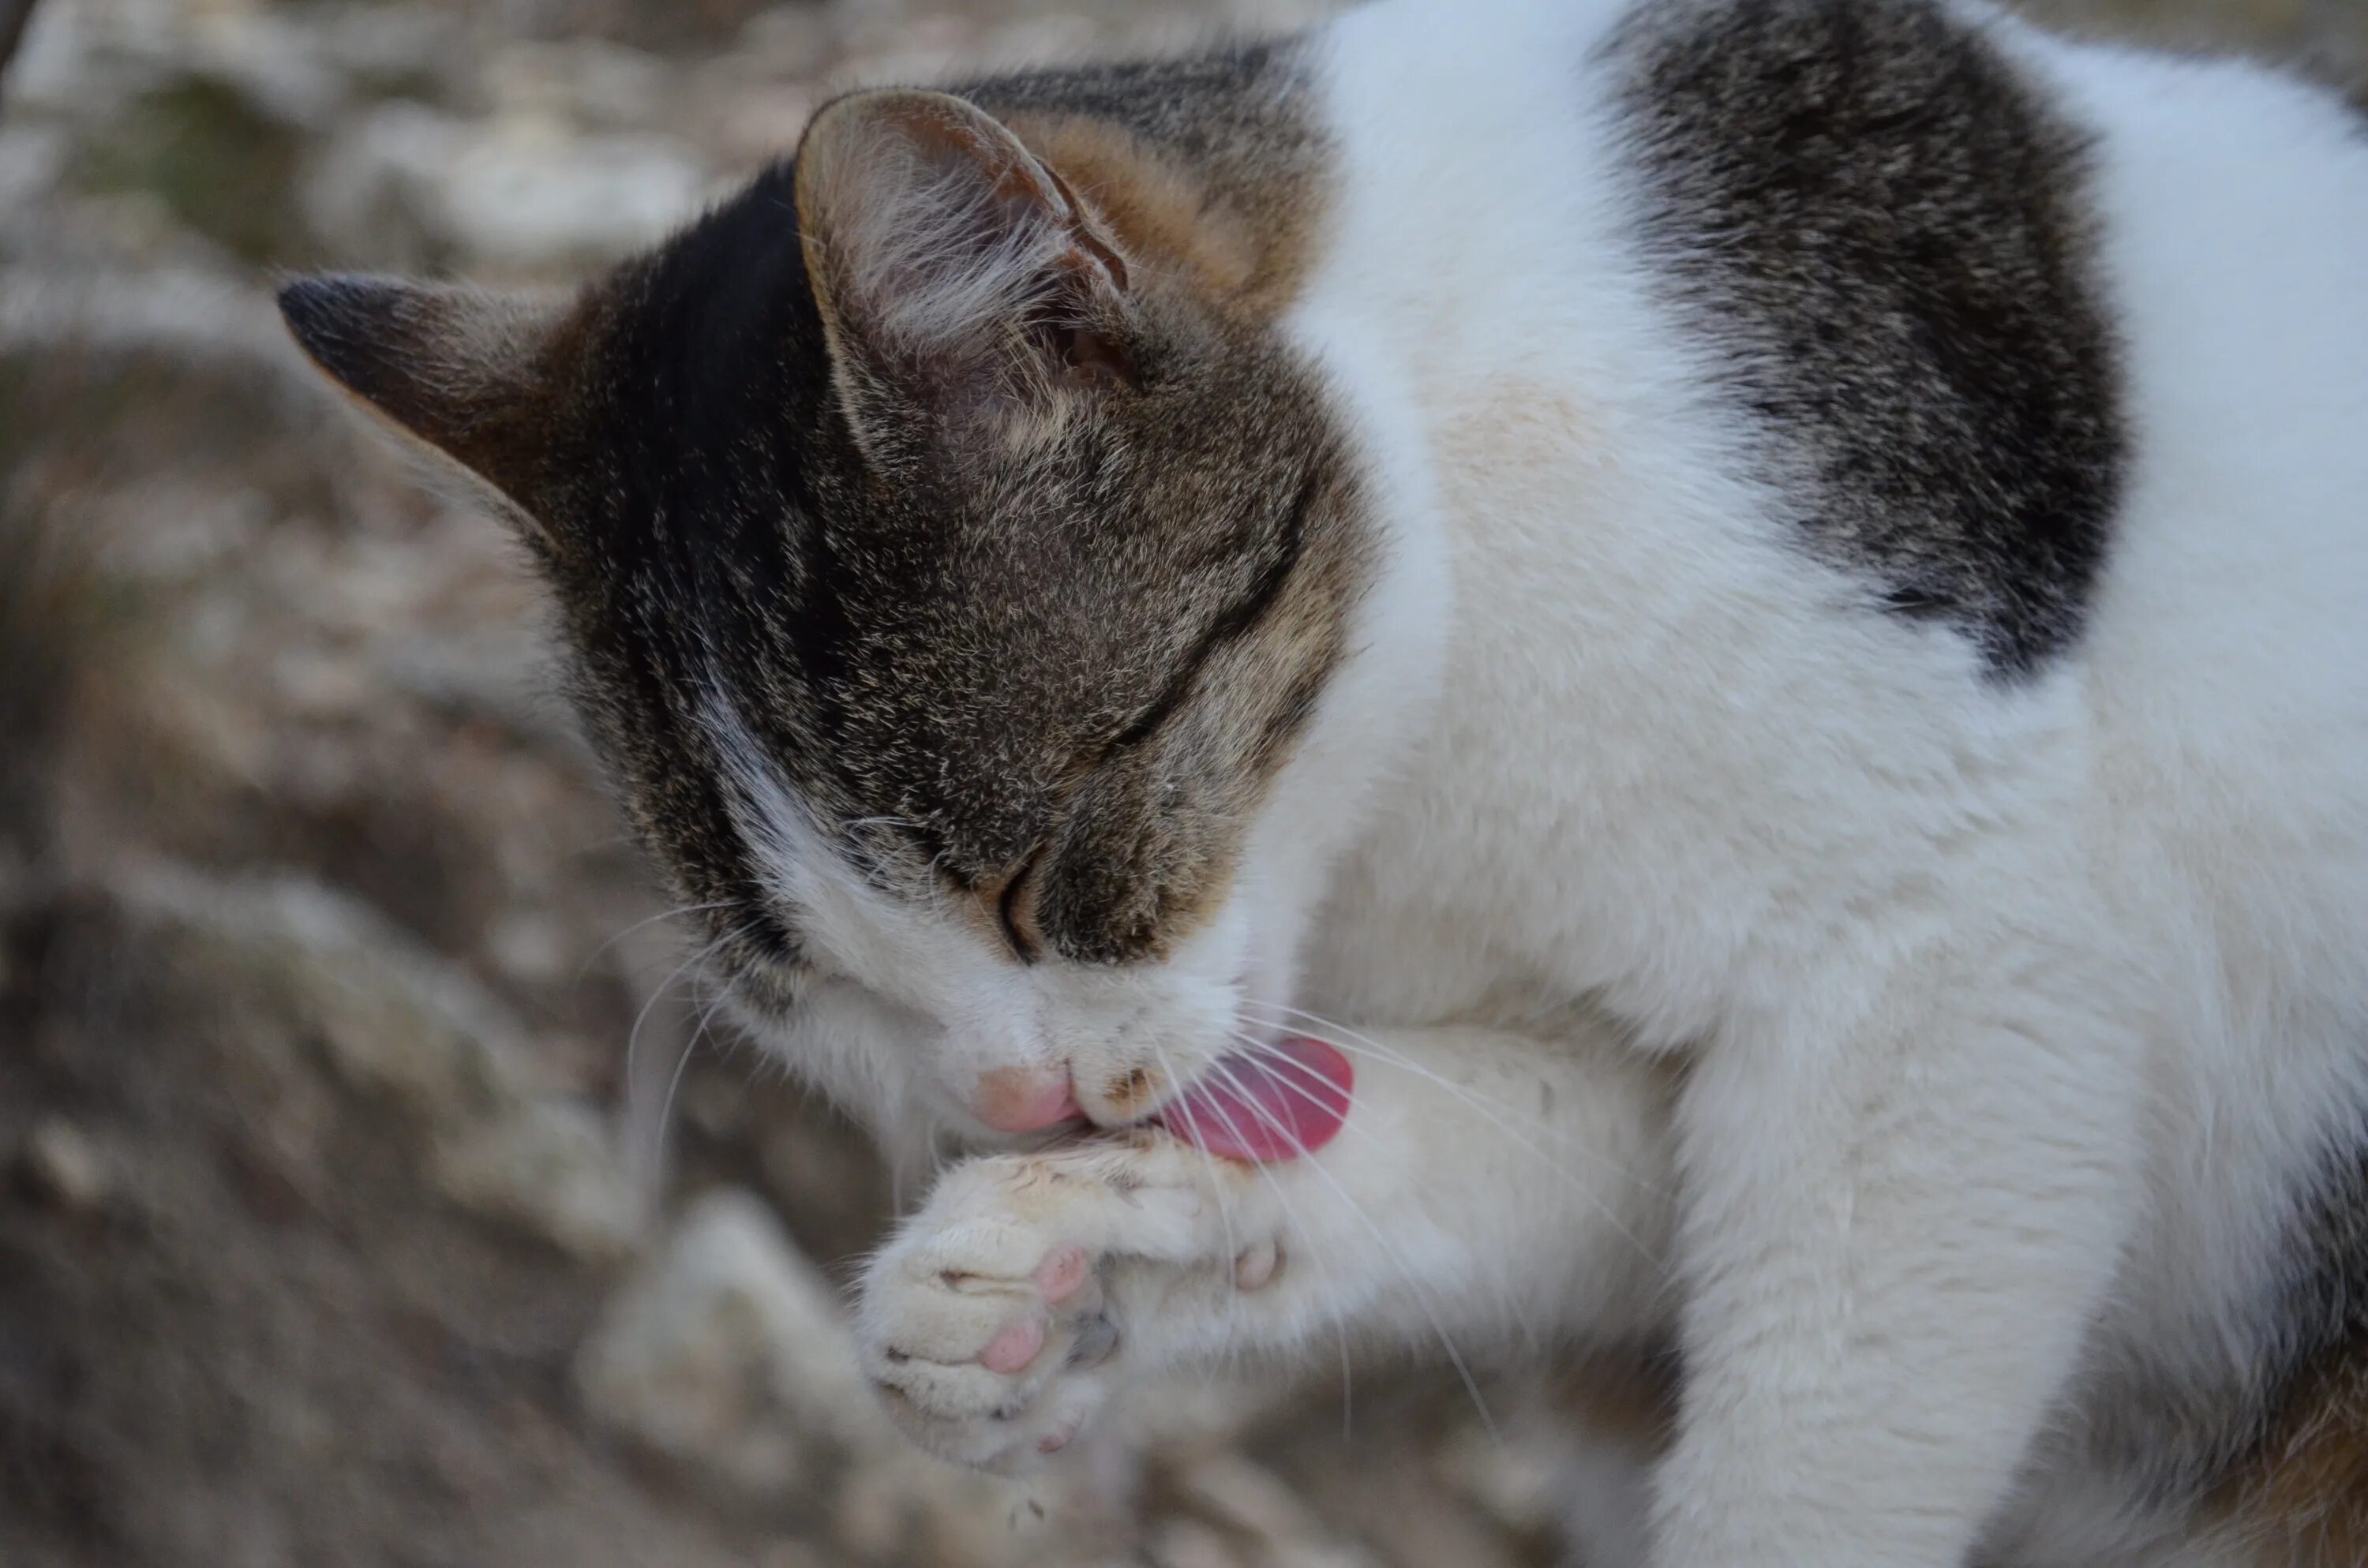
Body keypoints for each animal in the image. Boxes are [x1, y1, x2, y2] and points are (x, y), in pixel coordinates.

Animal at [282, 0, 2368, 1562]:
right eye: (806, 991)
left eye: (1042, 868)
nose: (1013, 1097)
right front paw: (1043, 1268)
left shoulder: (1958, 979)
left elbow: (1823, 1436)